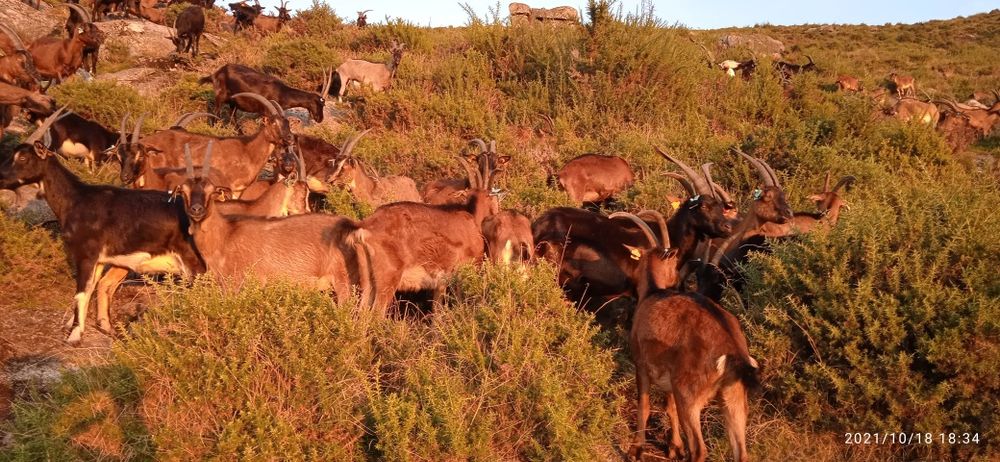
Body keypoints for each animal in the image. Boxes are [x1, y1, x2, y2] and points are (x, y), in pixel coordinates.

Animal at [0, 109, 206, 343]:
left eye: (23, 157)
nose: (1, 177)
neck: (78, 199)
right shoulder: (99, 261)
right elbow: (90, 289)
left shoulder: (86, 255)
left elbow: (81, 293)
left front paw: (74, 335)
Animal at [201, 63, 329, 123]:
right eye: (320, 103)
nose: (320, 119)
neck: (282, 93)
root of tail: (216, 73)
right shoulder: (266, 112)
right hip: (220, 97)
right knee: (215, 112)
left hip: (234, 103)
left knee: (232, 118)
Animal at [626, 213, 760, 461]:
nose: (677, 282)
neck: (652, 292)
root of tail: (733, 351)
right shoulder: (669, 377)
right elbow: (669, 408)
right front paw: (674, 447)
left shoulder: (641, 364)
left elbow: (644, 405)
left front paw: (636, 448)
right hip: (734, 396)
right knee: (741, 451)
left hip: (690, 394)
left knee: (699, 448)